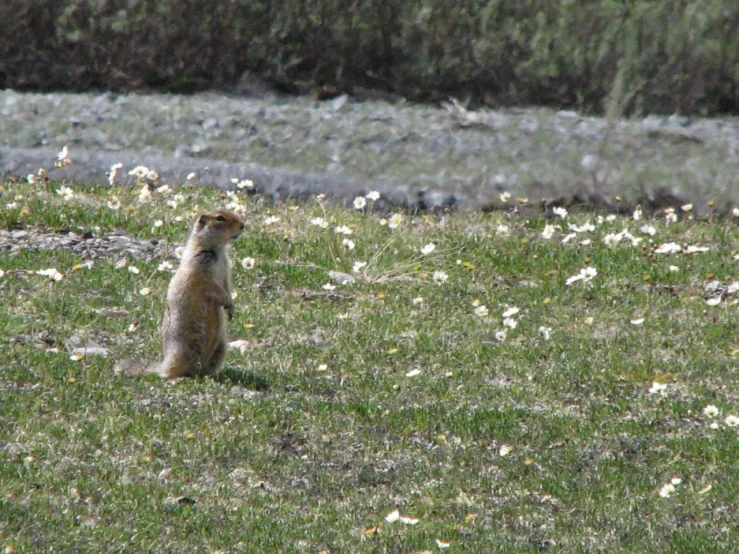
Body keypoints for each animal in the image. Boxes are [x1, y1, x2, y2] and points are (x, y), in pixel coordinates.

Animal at [113, 209, 246, 378]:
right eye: (220, 218)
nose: (243, 225)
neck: (217, 249)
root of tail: (163, 364)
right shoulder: (200, 266)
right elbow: (210, 286)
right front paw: (226, 301)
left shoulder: (225, 267)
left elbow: (226, 285)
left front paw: (231, 308)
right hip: (184, 347)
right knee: (169, 372)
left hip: (221, 346)